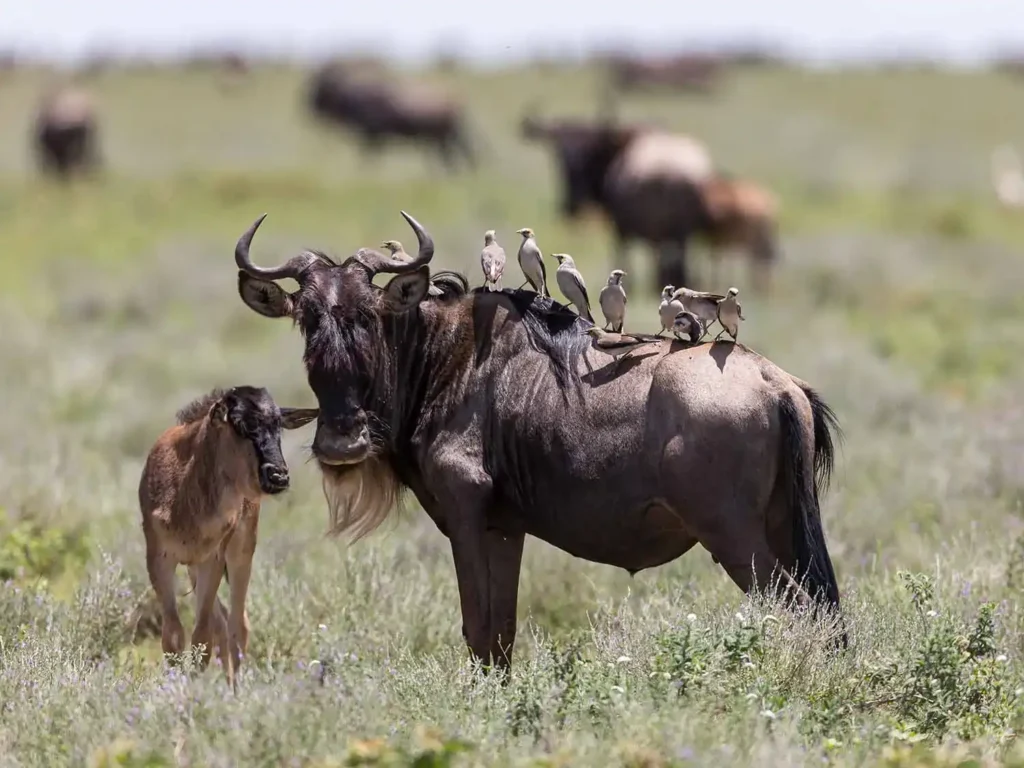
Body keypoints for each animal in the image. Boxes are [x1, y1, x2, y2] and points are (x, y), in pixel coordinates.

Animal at [139, 385, 317, 684]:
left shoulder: (212, 559)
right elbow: (173, 636)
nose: (278, 476)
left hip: (239, 553)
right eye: (241, 424)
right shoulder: (159, 559)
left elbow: (202, 635)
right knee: (223, 622)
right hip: (194, 567)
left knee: (237, 624)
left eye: (278, 425)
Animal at [230, 209, 847, 674]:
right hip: (782, 524)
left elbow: (476, 626)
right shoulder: (504, 526)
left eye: (369, 315)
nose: (341, 441)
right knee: (823, 611)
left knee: (796, 610)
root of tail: (775, 381)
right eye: (308, 319)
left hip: (733, 535)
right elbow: (500, 634)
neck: (441, 357)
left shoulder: (464, 509)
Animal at [307, 62, 475, 172]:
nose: (310, 105)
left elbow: (369, 157)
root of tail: (457, 104)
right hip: (442, 140)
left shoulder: (373, 136)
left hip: (443, 139)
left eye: (321, 86)